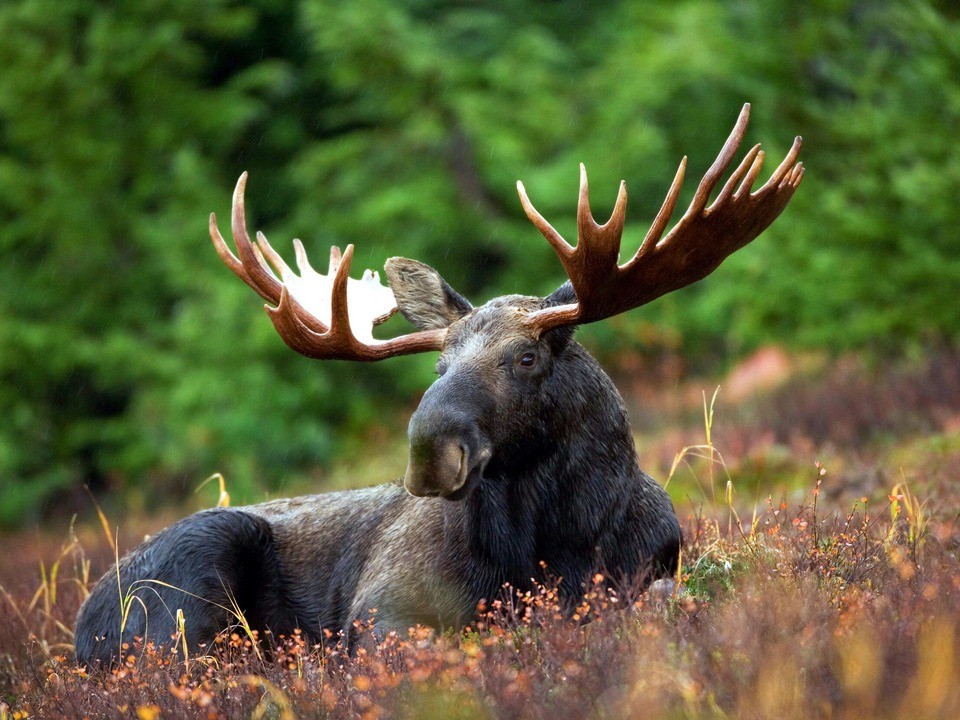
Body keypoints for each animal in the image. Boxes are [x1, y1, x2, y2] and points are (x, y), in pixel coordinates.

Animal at [75, 104, 804, 668]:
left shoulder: (652, 573)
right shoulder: (381, 611)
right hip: (193, 579)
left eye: (526, 358)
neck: (555, 545)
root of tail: (82, 630)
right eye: (438, 366)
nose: (429, 450)